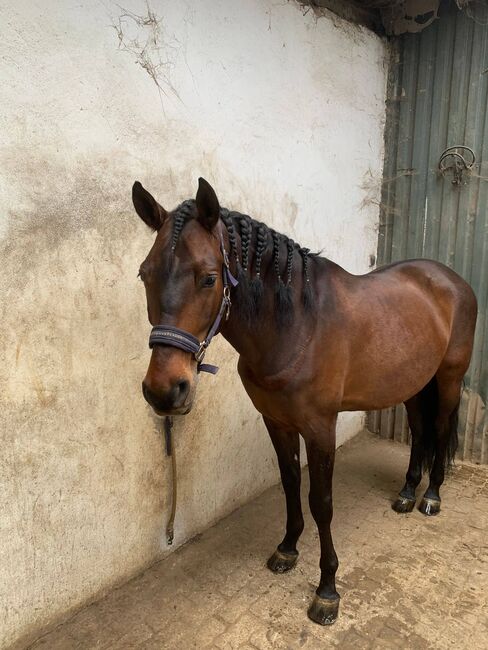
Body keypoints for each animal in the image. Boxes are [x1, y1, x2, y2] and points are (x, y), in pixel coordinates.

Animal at [131, 177, 476, 624]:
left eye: (208, 278)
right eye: (145, 275)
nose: (164, 389)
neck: (296, 326)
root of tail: (450, 279)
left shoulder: (320, 429)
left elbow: (321, 503)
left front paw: (327, 589)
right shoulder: (276, 422)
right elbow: (291, 483)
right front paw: (287, 549)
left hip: (448, 379)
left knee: (439, 428)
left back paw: (431, 497)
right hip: (412, 383)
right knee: (419, 432)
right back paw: (406, 492)